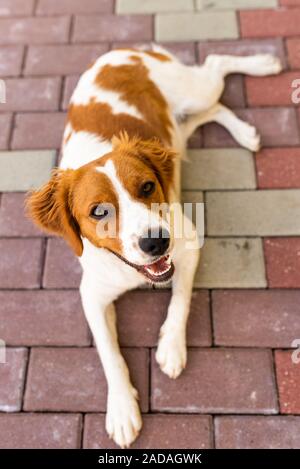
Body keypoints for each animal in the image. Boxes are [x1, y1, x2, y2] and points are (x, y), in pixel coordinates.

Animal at [27, 45, 282, 448]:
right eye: (98, 211)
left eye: (147, 187)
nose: (155, 241)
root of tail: (128, 50)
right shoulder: (92, 295)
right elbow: (109, 352)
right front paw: (121, 408)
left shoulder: (188, 245)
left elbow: (180, 299)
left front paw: (171, 347)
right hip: (179, 129)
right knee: (211, 108)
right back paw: (245, 131)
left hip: (195, 90)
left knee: (216, 67)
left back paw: (263, 66)